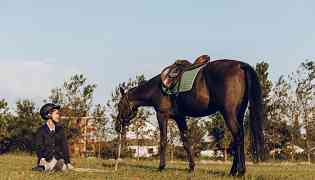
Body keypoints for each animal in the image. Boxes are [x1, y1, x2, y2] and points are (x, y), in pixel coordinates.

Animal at [115, 59, 264, 176]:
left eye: (119, 104)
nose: (117, 126)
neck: (156, 89)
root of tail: (240, 65)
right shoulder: (180, 117)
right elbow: (186, 141)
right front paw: (191, 167)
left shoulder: (162, 116)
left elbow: (163, 141)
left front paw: (161, 167)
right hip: (239, 113)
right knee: (240, 137)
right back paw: (235, 171)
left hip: (229, 113)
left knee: (238, 136)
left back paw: (239, 171)